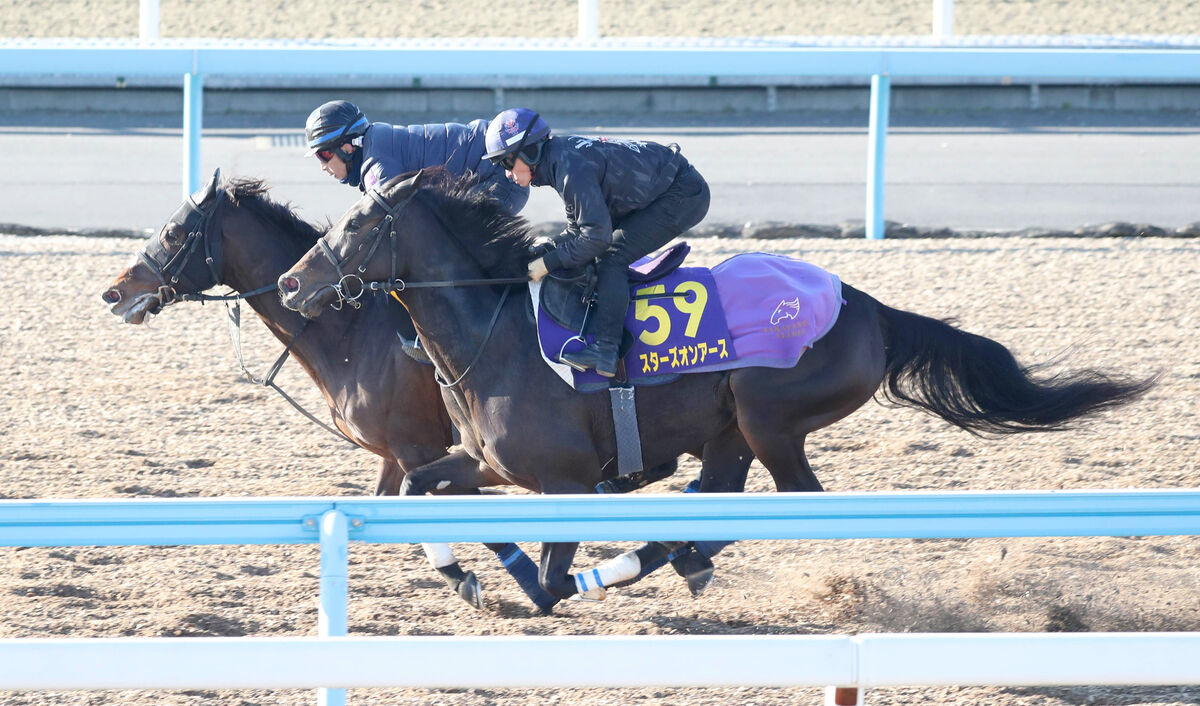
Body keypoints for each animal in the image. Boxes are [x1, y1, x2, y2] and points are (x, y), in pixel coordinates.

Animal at [276, 168, 1156, 597]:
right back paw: (672, 555)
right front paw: (466, 577)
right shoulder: (484, 462)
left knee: (794, 506)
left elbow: (550, 581)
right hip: (732, 430)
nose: (289, 282)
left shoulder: (563, 478)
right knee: (728, 501)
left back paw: (657, 557)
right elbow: (411, 489)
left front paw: (545, 581)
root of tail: (866, 305)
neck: (492, 335)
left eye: (356, 225)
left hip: (773, 421)